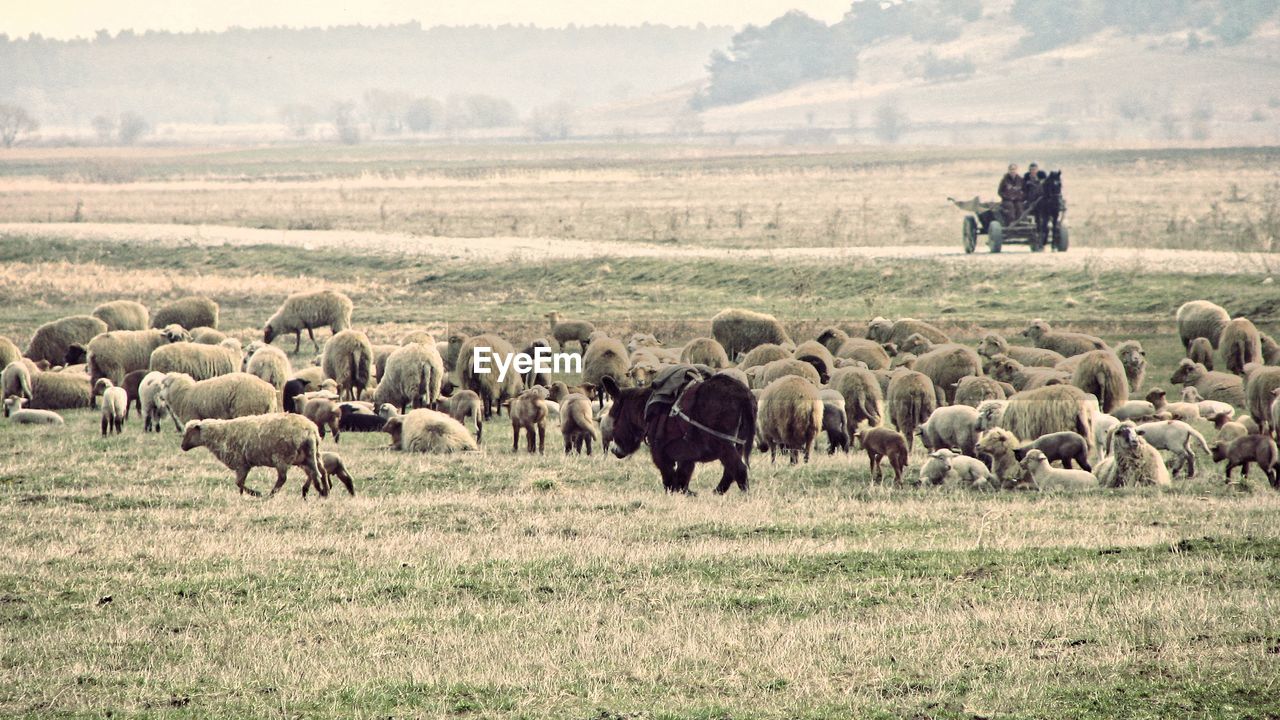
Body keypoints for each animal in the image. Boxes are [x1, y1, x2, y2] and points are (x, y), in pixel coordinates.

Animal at [180, 412, 325, 497]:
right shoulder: (244, 465)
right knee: (318, 471)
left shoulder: (241, 463)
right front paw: (241, 495)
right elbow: (240, 484)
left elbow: (239, 483)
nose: (182, 447)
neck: (219, 434)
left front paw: (255, 493)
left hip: (282, 457)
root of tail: (310, 430)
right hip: (309, 455)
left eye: (189, 432)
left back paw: (270, 495)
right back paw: (322, 490)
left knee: (283, 478)